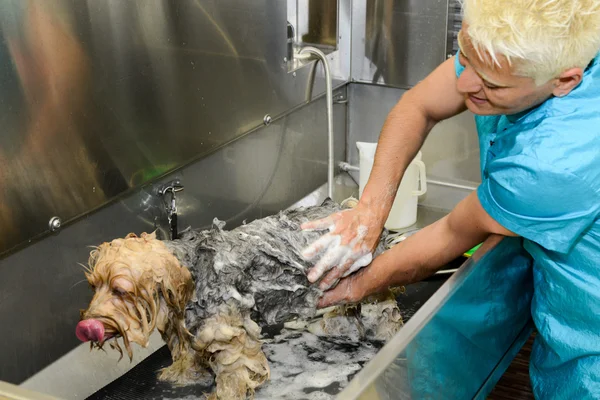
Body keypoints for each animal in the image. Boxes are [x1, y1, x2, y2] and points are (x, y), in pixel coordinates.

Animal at [76, 200, 404, 400]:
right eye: (94, 286)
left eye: (120, 290)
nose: (86, 326)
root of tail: (348, 206)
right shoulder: (189, 326)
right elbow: (189, 353)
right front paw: (182, 374)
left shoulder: (228, 333)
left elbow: (235, 369)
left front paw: (225, 393)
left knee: (383, 301)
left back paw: (386, 330)